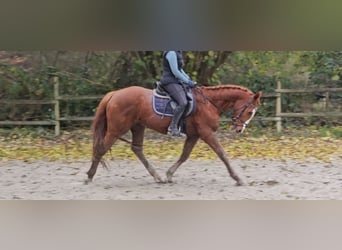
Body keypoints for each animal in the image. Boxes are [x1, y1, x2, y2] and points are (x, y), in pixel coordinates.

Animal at [85, 85, 262, 185]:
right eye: (250, 111)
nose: (239, 129)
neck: (208, 103)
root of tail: (114, 94)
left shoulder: (194, 135)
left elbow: (185, 155)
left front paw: (169, 174)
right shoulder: (206, 133)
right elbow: (222, 154)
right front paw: (237, 178)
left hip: (138, 127)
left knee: (137, 149)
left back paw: (157, 177)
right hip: (116, 130)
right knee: (100, 149)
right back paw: (89, 176)